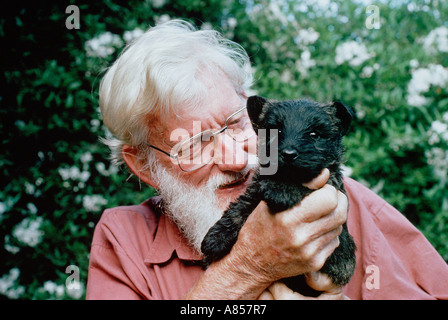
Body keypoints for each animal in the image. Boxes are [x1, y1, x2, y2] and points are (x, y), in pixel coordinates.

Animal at [201, 95, 356, 290]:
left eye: (315, 134)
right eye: (276, 131)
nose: (288, 154)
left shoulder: (339, 259)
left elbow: (306, 186)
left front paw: (281, 191)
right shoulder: (255, 189)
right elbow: (239, 208)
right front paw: (216, 237)